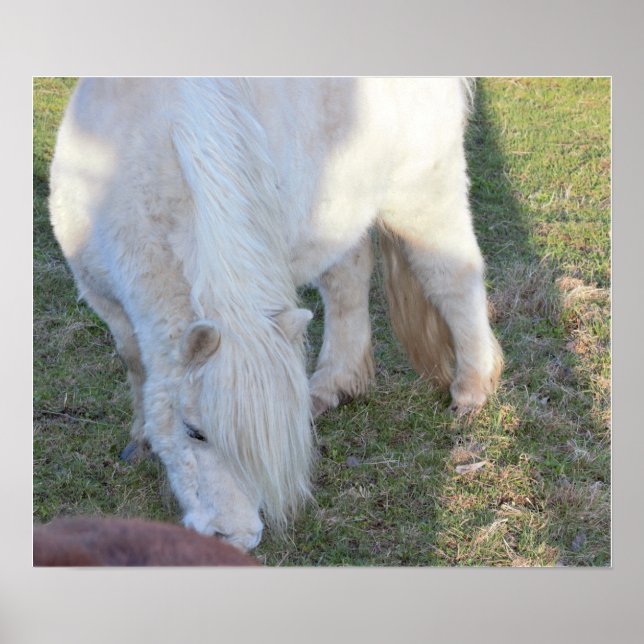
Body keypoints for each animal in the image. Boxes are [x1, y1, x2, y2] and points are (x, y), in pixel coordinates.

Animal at [48, 78, 503, 551]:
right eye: (194, 431)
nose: (235, 537)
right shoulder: (105, 297)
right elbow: (135, 361)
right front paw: (139, 440)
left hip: (422, 192)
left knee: (453, 276)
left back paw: (471, 390)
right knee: (347, 279)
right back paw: (333, 386)